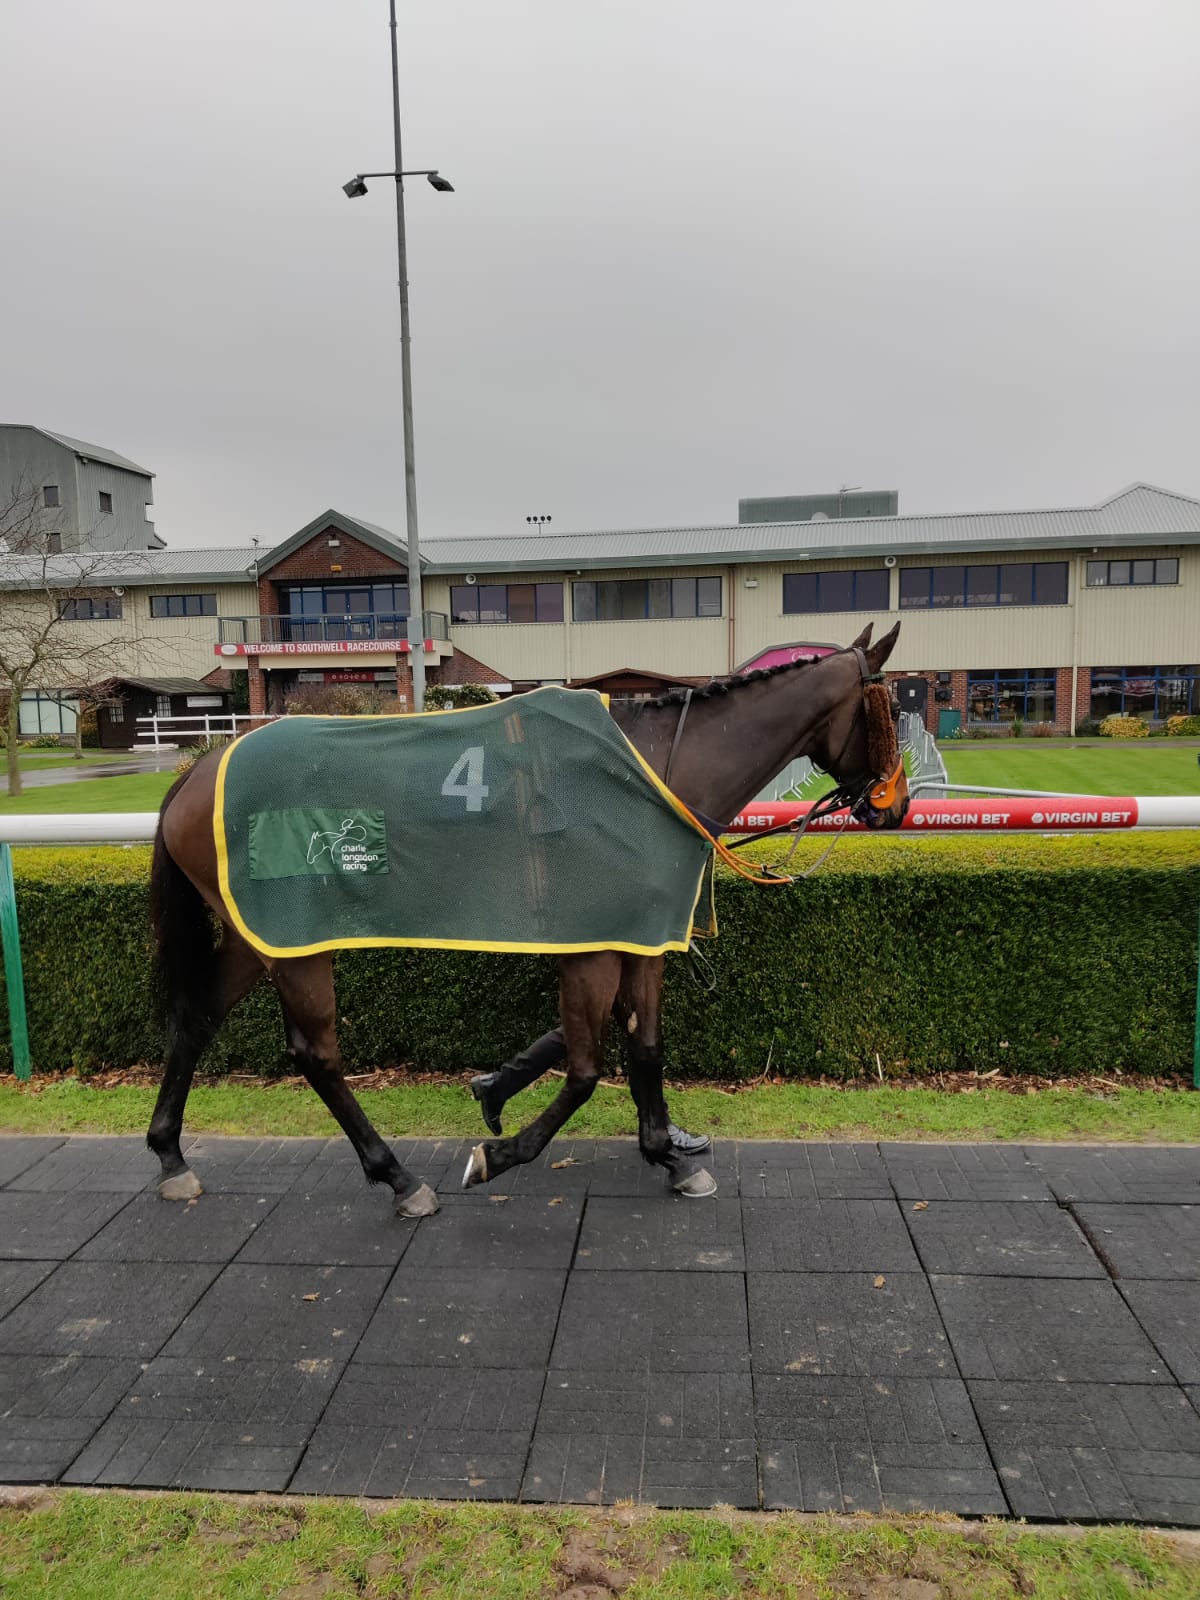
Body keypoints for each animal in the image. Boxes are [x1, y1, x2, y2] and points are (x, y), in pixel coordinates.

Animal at [145, 620, 908, 1209]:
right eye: (894, 711)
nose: (896, 806)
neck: (651, 773)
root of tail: (199, 767)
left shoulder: (638, 937)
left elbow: (646, 1048)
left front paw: (669, 1155)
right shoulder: (591, 948)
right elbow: (586, 1070)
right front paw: (500, 1154)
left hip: (257, 937)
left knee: (198, 1018)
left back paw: (171, 1156)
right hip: (297, 940)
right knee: (317, 1054)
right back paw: (399, 1179)